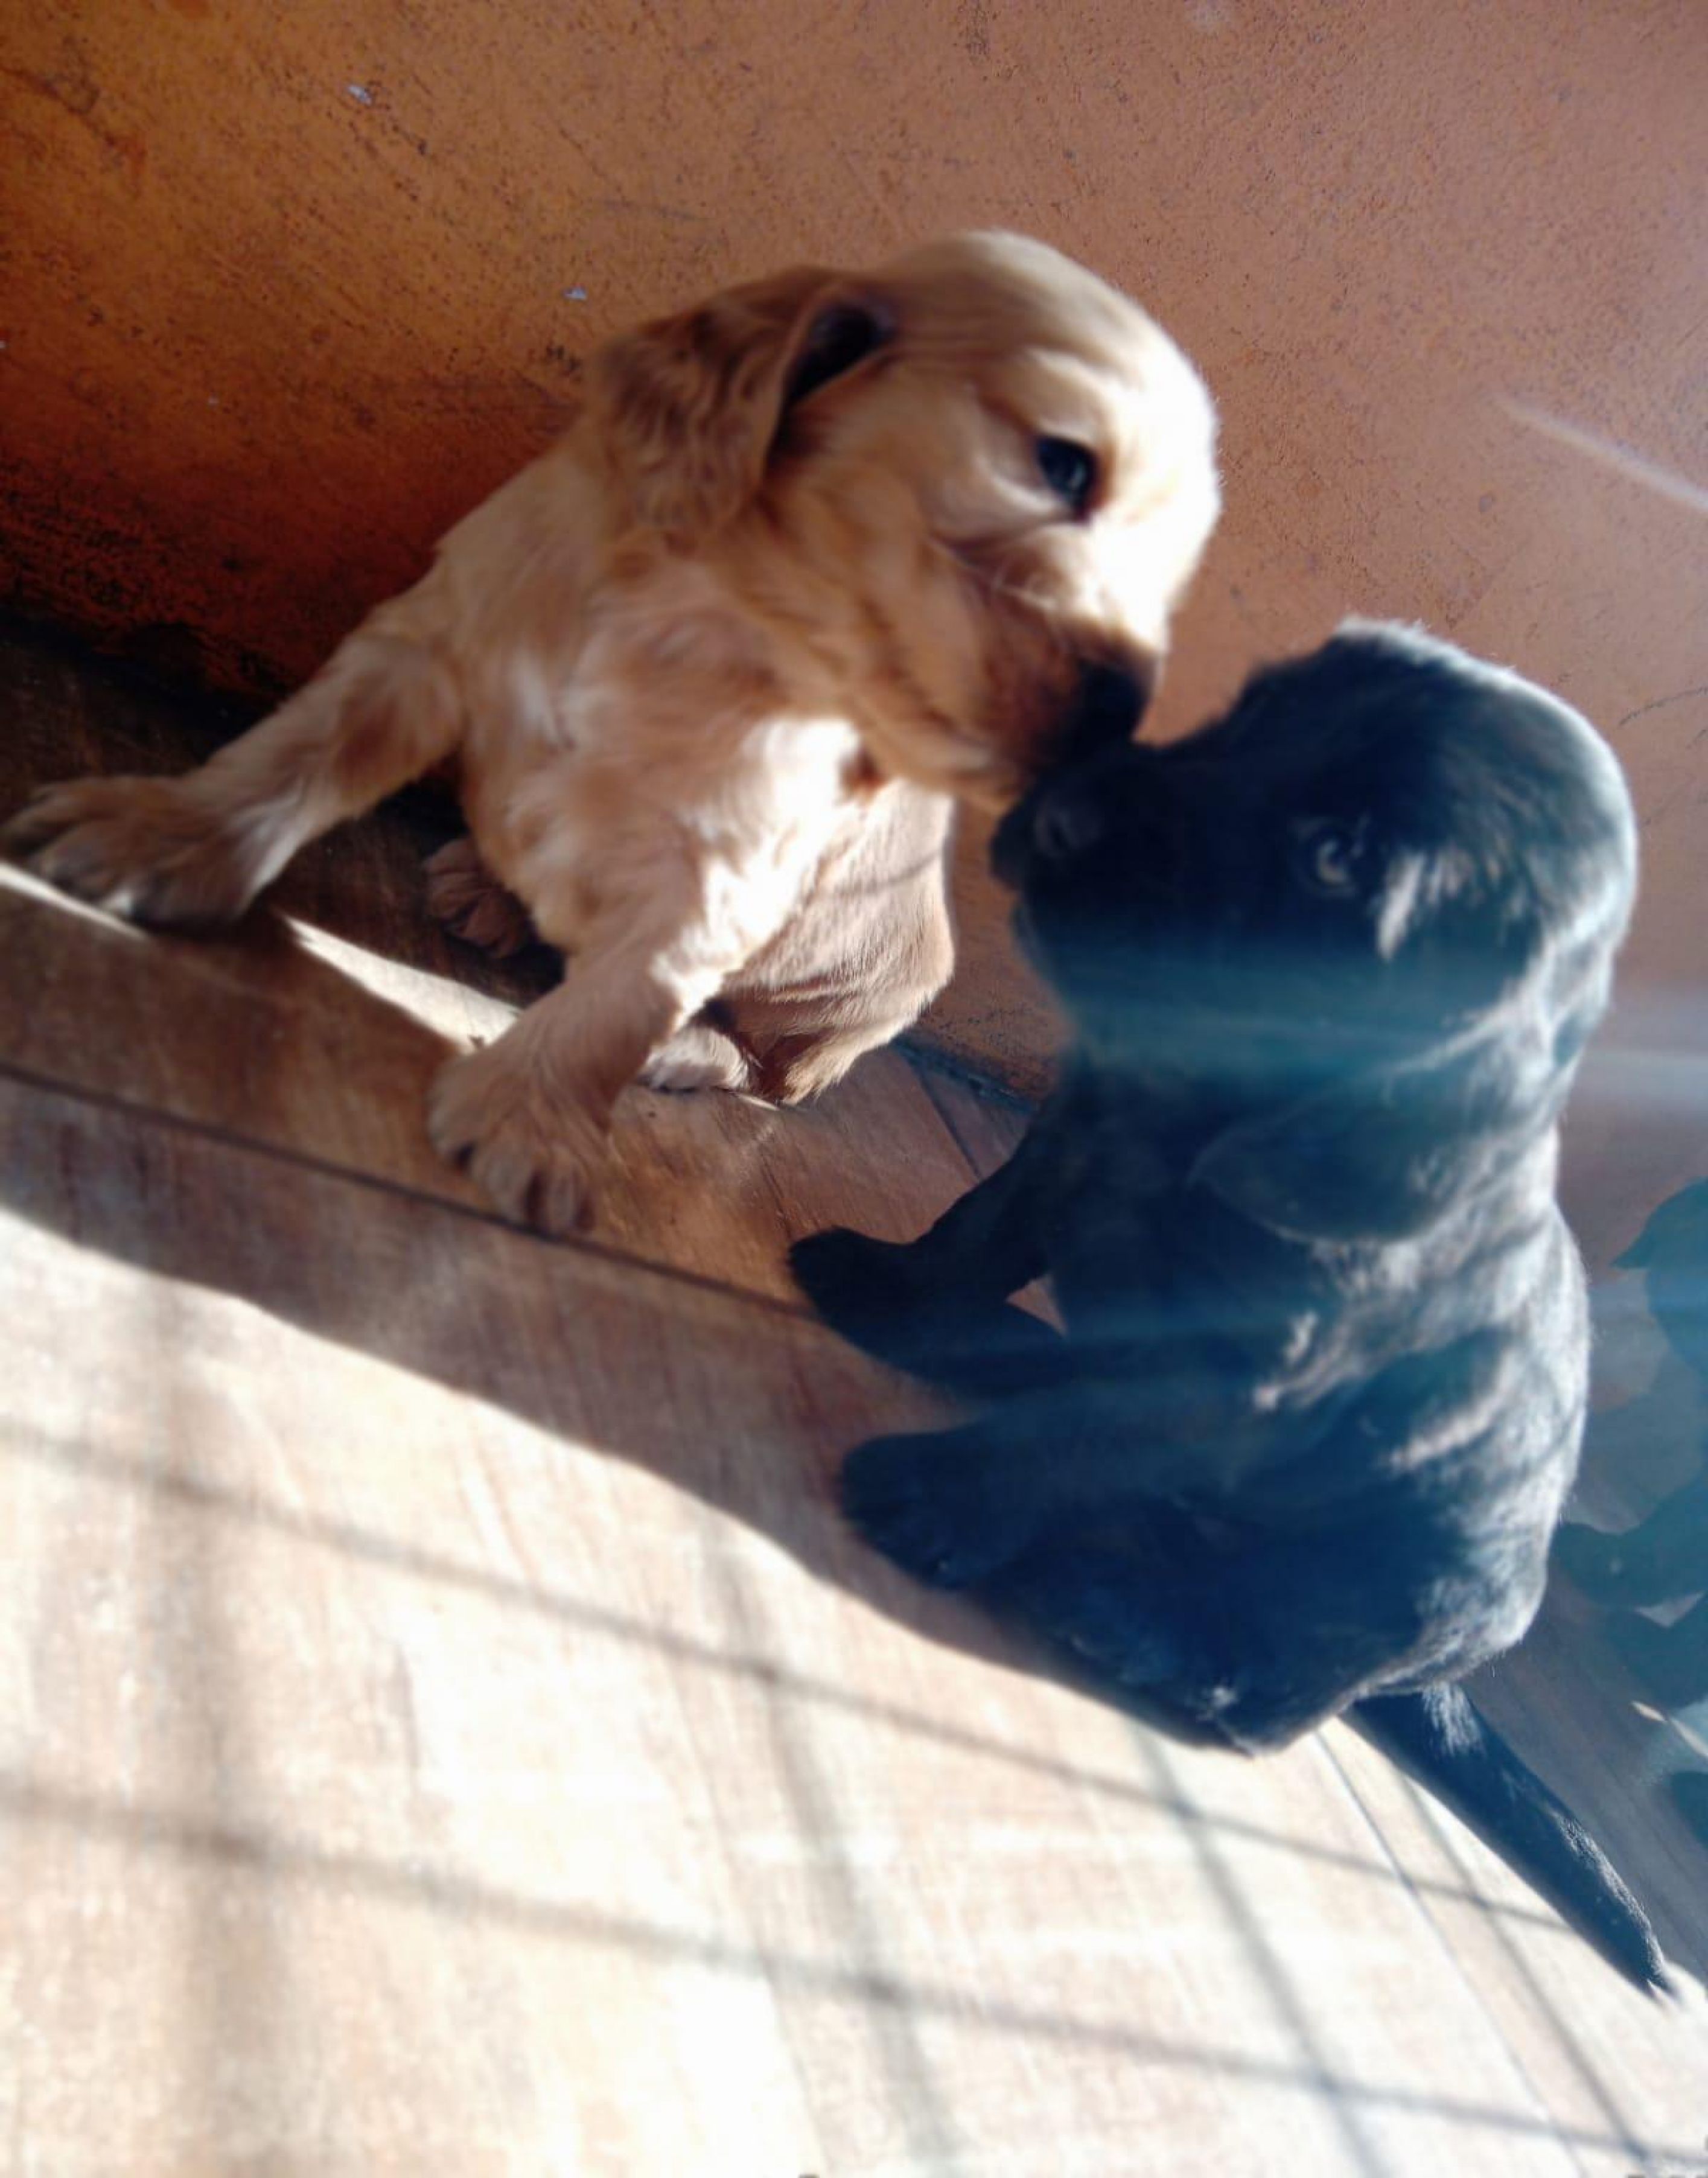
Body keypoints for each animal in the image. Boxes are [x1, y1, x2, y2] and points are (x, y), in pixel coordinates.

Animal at [4, 232, 1219, 1234]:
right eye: (1062, 464)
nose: (1121, 714)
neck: (720, 617)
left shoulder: (724, 873)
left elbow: (623, 1001)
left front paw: (531, 1124)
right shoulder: (431, 642)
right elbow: (291, 752)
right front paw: (156, 836)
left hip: (845, 999)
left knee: (765, 1068)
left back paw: (685, 1048)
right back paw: (489, 890)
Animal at [795, 621, 1672, 1990]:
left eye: (1333, 861)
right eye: (1250, 716)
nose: (1063, 812)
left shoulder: (1231, 1368)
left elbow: (1078, 1440)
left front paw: (938, 1497)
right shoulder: (1071, 1141)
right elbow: (972, 1237)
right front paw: (889, 1290)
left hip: (1397, 1585)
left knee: (1269, 1686)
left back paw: (1133, 1623)